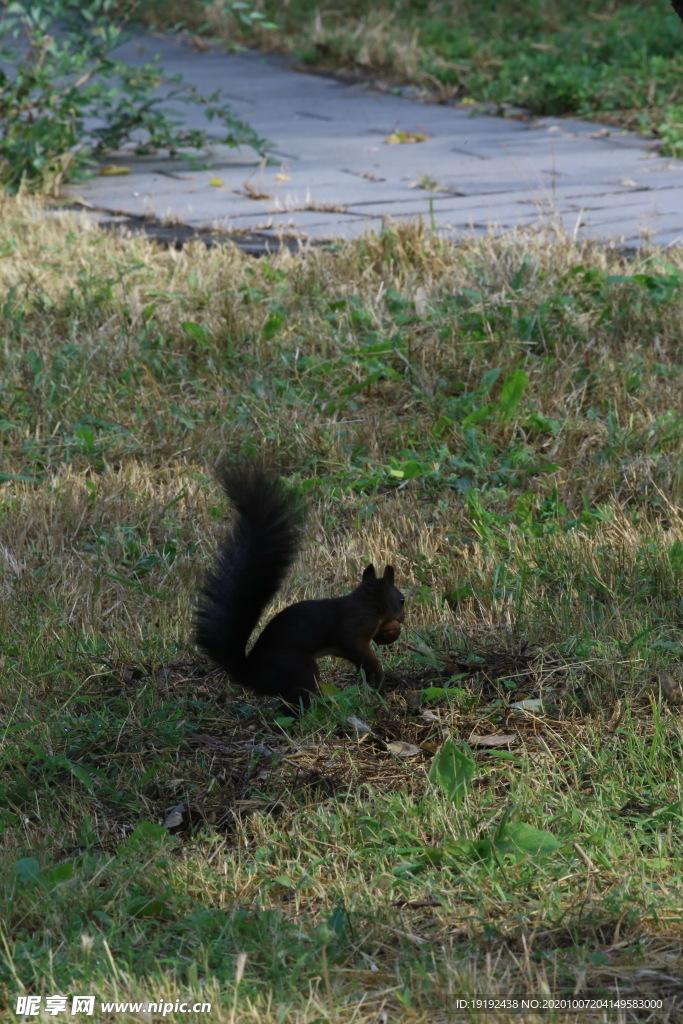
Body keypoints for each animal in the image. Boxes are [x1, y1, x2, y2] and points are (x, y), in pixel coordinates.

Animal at [194, 462, 403, 704]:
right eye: (402, 600)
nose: (402, 618)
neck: (367, 602)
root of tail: (250, 675)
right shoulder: (352, 632)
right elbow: (357, 649)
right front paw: (377, 675)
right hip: (299, 668)